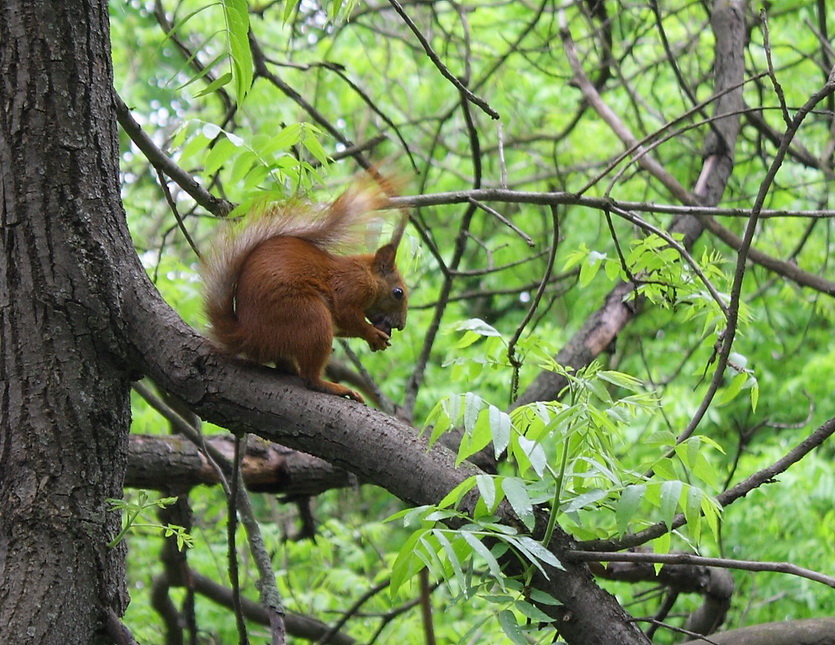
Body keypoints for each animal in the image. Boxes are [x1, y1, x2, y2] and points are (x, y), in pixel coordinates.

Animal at [204, 181, 410, 402]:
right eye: (398, 292)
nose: (401, 326)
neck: (366, 273)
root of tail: (248, 334)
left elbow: (344, 326)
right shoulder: (351, 286)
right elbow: (347, 315)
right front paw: (372, 334)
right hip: (310, 316)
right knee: (310, 378)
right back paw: (335, 387)